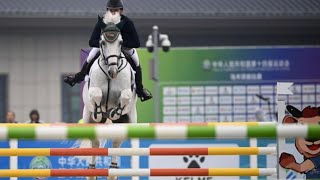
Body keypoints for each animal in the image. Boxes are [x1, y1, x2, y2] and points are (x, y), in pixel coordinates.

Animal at [80, 11, 137, 179]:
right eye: (102, 42)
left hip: (127, 122)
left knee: (116, 144)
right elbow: (97, 94)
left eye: (121, 42)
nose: (113, 72)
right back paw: (92, 171)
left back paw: (113, 170)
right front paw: (99, 112)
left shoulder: (126, 93)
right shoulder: (93, 90)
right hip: (88, 121)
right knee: (95, 144)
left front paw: (114, 112)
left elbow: (125, 96)